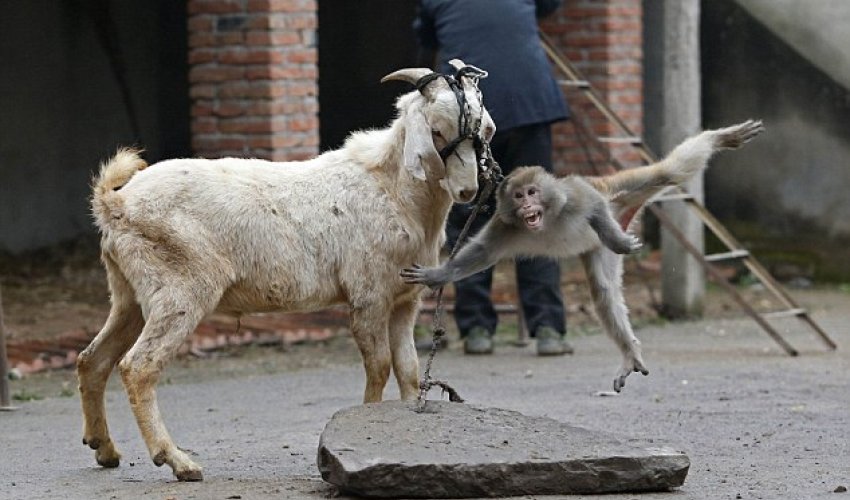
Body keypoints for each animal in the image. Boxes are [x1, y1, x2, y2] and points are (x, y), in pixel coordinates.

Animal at [78, 60, 496, 482]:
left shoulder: (405, 300)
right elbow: (378, 366)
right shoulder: (369, 295)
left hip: (129, 293)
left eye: (481, 130)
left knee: (93, 359)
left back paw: (104, 449)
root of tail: (114, 203)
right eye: (437, 130)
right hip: (180, 288)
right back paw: (177, 461)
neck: (392, 190)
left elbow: (408, 368)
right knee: (138, 366)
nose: (467, 191)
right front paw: (366, 423)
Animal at [400, 119, 764, 392]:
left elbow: (591, 203)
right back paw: (629, 352)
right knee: (603, 293)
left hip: (617, 191)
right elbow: (481, 253)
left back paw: (720, 139)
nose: (528, 205)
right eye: (518, 196)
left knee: (666, 173)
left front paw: (618, 240)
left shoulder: (571, 196)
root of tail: (624, 212)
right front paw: (438, 275)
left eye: (532, 192)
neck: (546, 218)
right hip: (596, 248)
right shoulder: (505, 225)